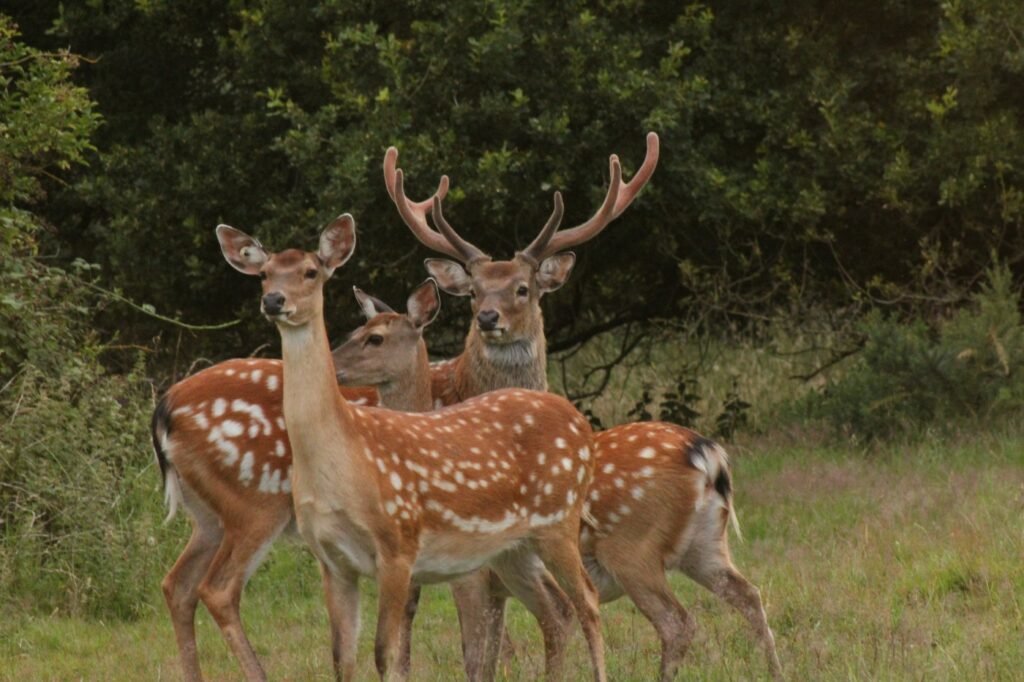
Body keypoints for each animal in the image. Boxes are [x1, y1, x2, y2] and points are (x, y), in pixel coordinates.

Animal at [151, 280, 439, 682]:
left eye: (375, 338)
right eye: (356, 332)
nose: (333, 367)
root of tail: (164, 410)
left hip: (207, 515)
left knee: (177, 584)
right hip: (255, 503)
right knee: (218, 589)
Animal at [215, 212, 607, 682]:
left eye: (311, 272)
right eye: (264, 274)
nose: (274, 300)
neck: (341, 461)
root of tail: (577, 419)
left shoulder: (398, 546)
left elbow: (389, 653)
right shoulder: (331, 560)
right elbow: (343, 659)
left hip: (557, 521)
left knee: (588, 602)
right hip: (511, 547)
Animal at [385, 133, 783, 680]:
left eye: (523, 288)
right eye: (472, 292)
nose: (488, 317)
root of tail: (707, 455)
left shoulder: (478, 571)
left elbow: (481, 652)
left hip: (632, 549)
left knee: (676, 622)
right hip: (705, 545)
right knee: (749, 596)